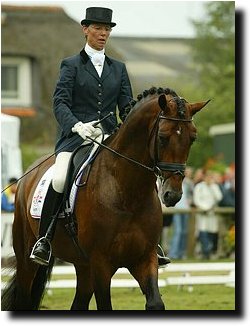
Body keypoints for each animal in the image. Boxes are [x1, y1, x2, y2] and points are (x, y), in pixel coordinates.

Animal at [1, 86, 209, 310]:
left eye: (193, 138)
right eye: (162, 137)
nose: (173, 194)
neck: (127, 192)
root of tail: (29, 173)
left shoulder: (144, 258)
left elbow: (155, 303)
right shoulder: (101, 263)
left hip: (83, 265)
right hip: (27, 259)